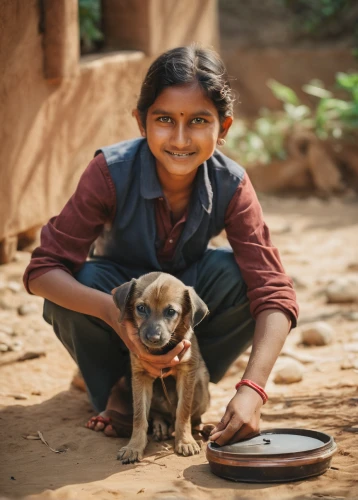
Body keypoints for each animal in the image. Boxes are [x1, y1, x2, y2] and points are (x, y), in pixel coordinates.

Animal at [112, 272, 210, 462]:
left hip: (202, 387)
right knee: (157, 414)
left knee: (190, 416)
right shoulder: (139, 376)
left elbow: (183, 411)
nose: (153, 338)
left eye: (171, 312)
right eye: (141, 308)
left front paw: (185, 440)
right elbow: (139, 416)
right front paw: (134, 446)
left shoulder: (187, 372)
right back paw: (160, 426)